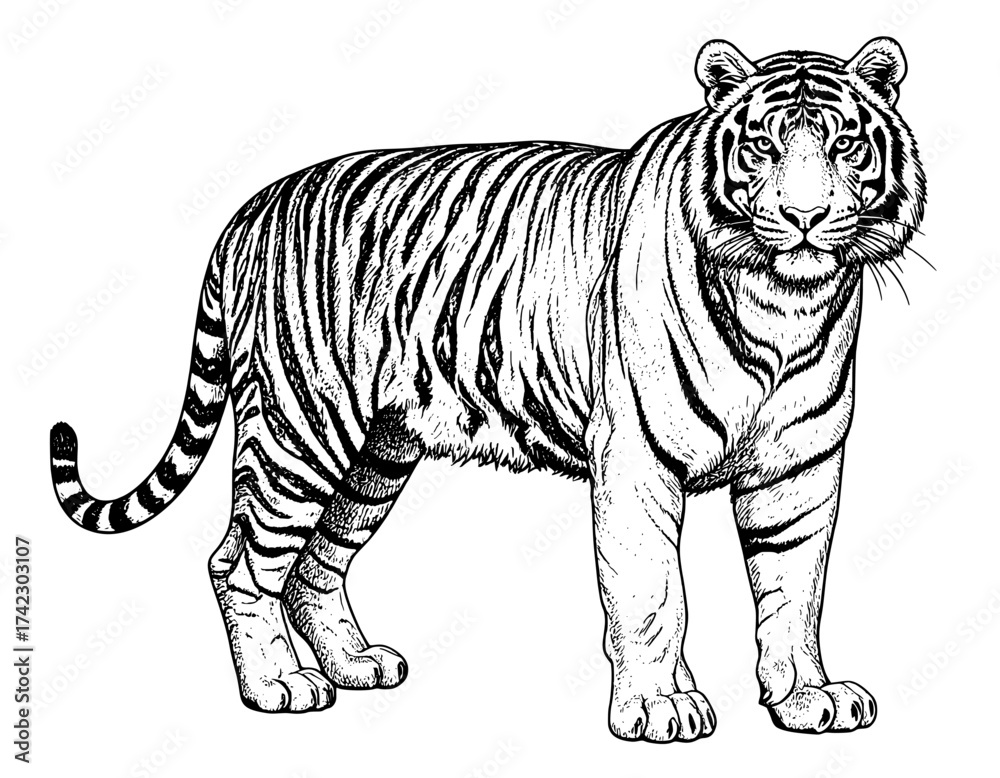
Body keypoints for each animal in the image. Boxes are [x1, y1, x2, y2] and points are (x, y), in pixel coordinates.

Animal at [49, 37, 925, 742]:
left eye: (846, 143)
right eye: (762, 147)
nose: (805, 216)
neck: (785, 303)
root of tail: (251, 208)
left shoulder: (800, 469)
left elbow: (794, 593)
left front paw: (807, 699)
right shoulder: (636, 461)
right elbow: (651, 593)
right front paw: (657, 708)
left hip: (375, 453)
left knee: (313, 564)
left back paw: (355, 664)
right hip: (300, 430)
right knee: (239, 563)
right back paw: (278, 686)